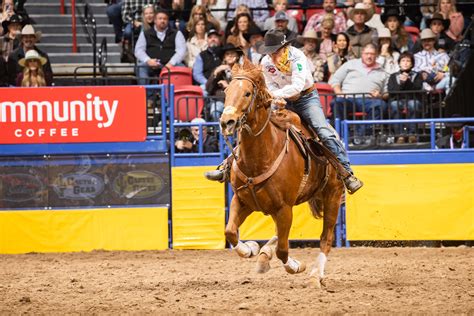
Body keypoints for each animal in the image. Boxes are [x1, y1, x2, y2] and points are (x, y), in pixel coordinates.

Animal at [220, 58, 342, 286]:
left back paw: (315, 275)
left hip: (333, 193)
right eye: (227, 91)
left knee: (326, 237)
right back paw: (263, 256)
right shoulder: (242, 200)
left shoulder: (284, 208)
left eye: (247, 93)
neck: (260, 157)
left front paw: (296, 266)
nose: (226, 122)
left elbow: (283, 250)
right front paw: (250, 249)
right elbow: (230, 231)